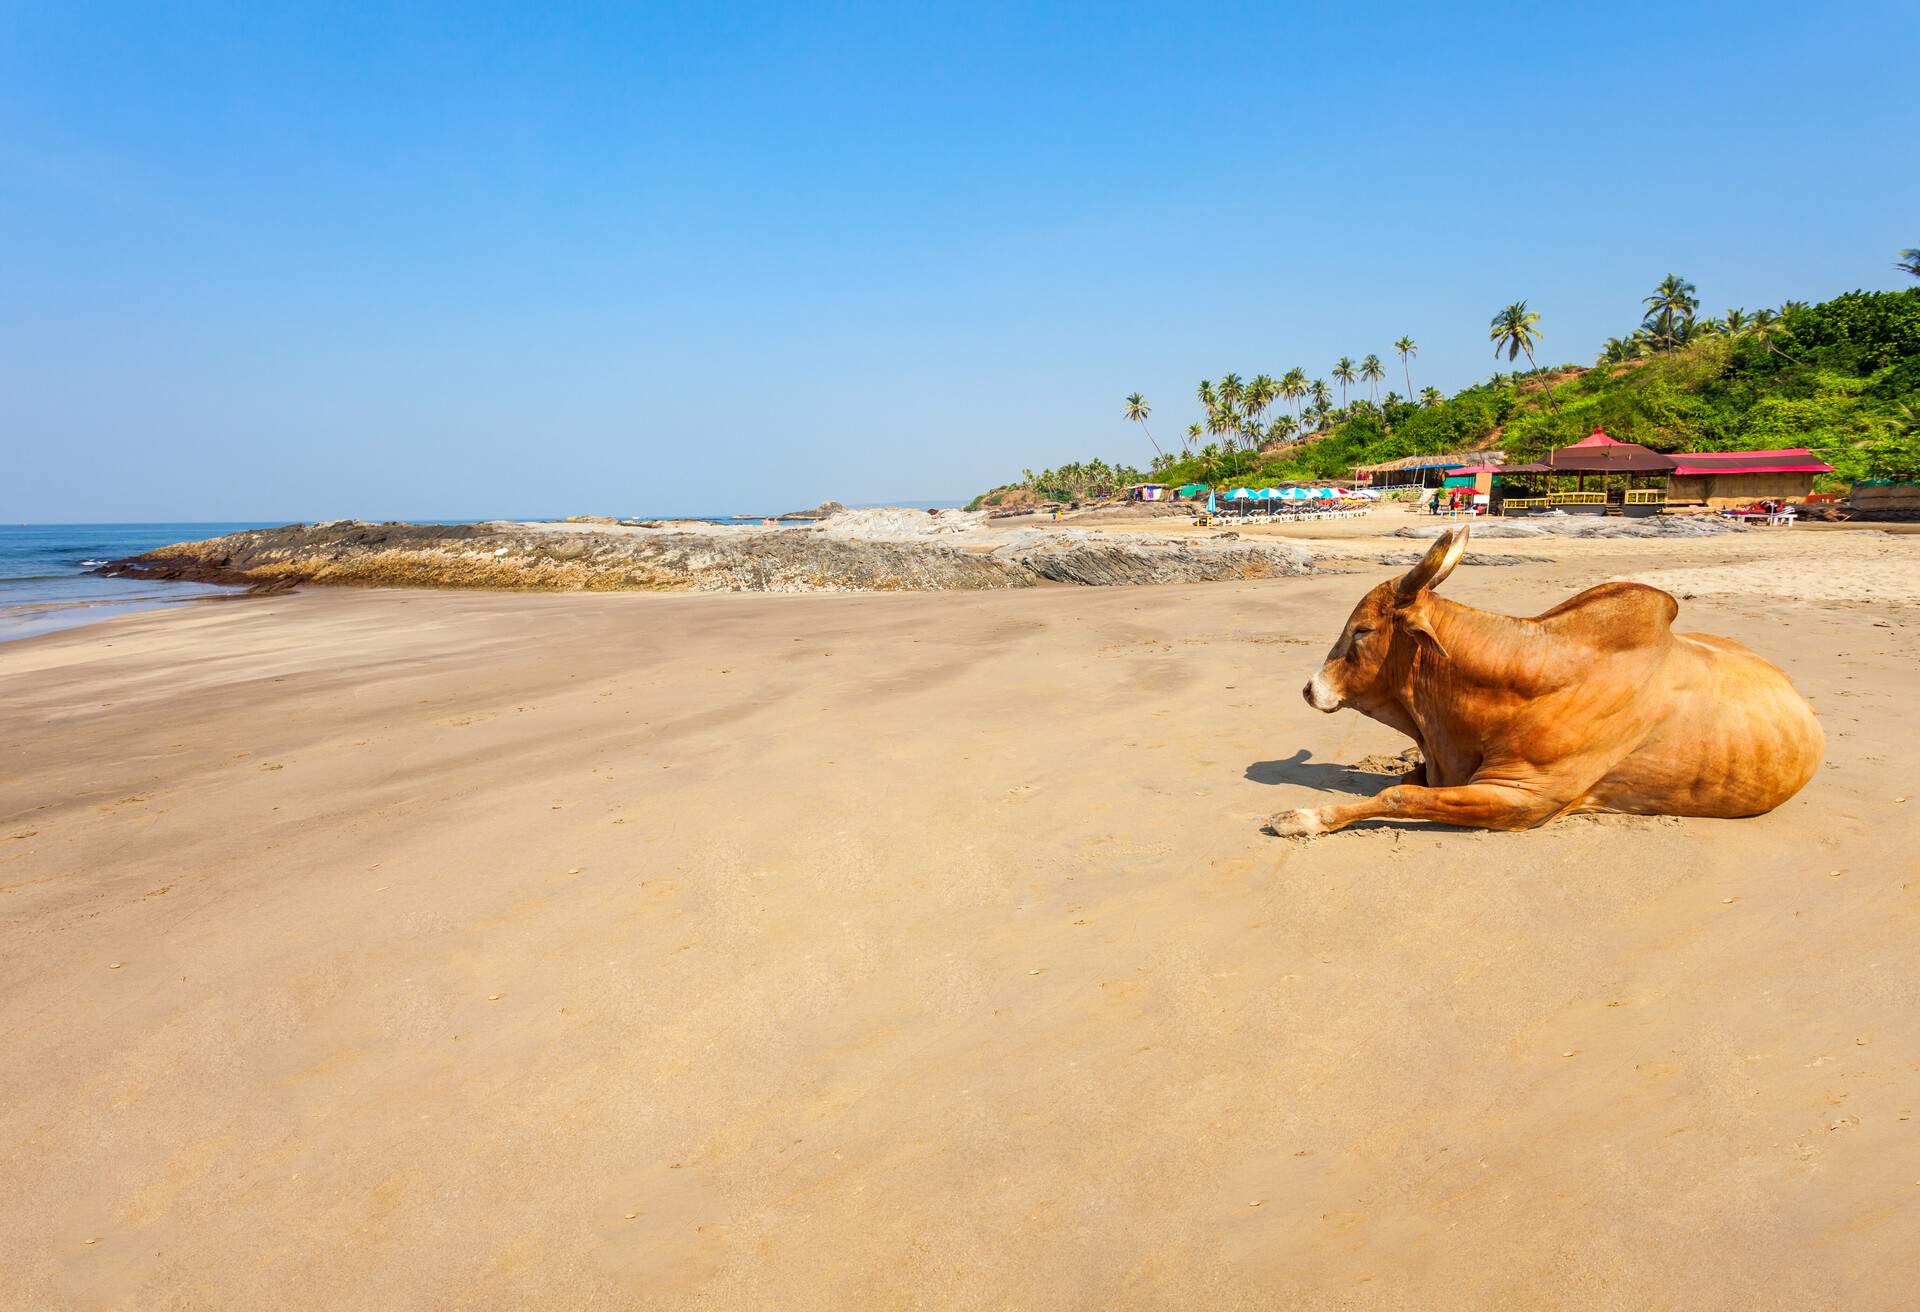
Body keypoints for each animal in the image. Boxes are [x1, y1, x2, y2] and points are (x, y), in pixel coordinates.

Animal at [1267, 530, 1820, 837]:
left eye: (1362, 630)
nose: (1310, 688)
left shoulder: (1526, 800)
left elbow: (1398, 797)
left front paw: (1303, 818)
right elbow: (1405, 782)